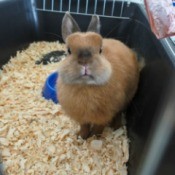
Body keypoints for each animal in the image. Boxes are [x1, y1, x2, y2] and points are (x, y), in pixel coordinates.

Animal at [57, 11, 139, 139]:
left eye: (100, 50)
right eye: (69, 50)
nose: (85, 62)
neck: (85, 86)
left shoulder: (104, 116)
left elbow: (99, 128)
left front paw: (95, 137)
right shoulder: (82, 118)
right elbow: (84, 127)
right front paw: (81, 137)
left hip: (127, 98)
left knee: (119, 113)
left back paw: (117, 127)